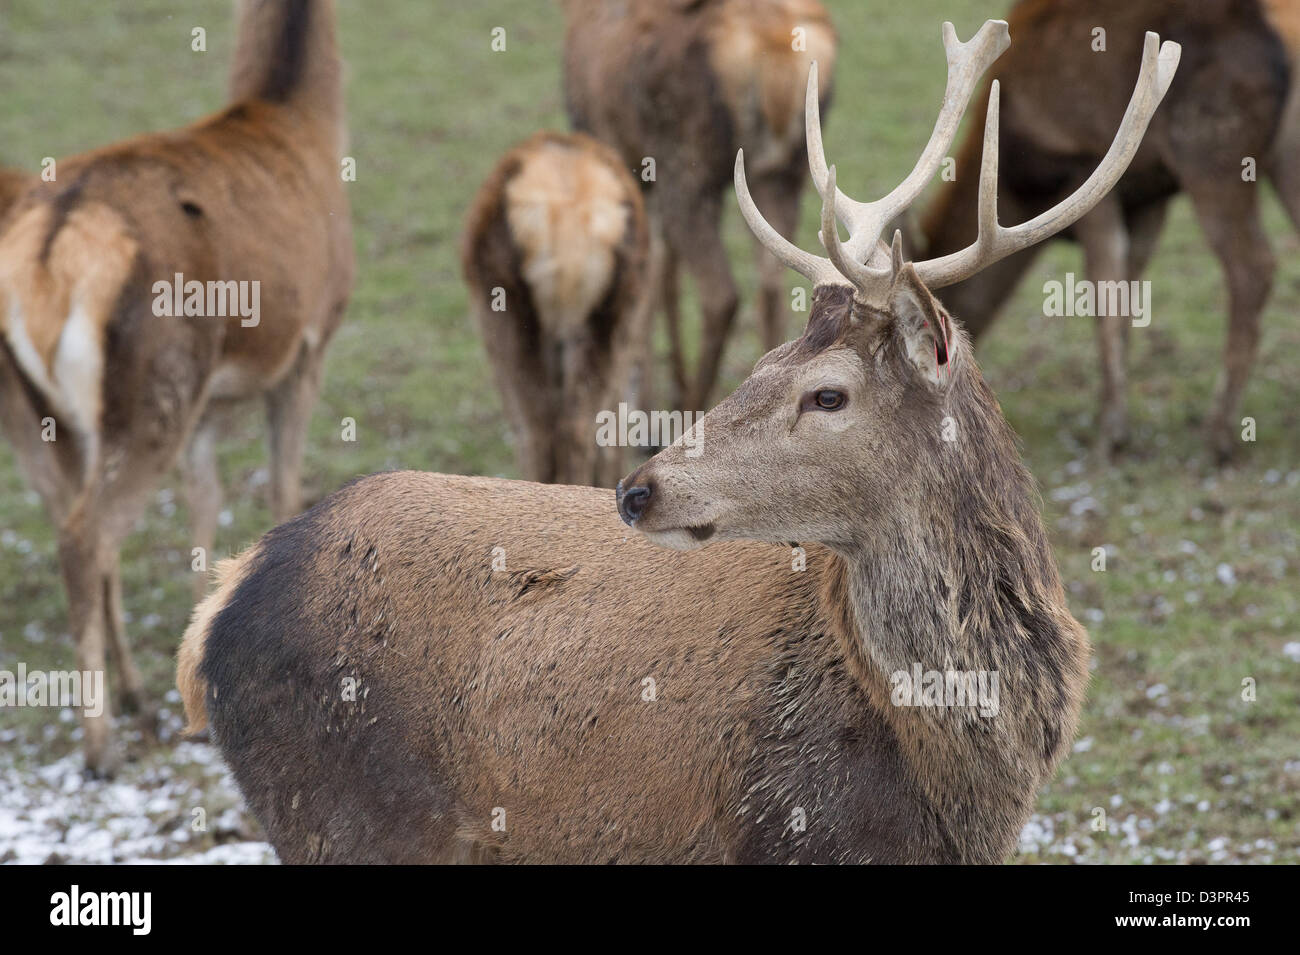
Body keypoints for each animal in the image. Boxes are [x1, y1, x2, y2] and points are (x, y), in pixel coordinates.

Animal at [0, 0, 353, 774]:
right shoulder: (307, 346)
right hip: (155, 387)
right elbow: (284, 492)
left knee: (75, 521)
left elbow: (205, 503)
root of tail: (49, 257)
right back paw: (100, 745)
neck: (302, 118)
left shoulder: (211, 406)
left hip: (47, 418)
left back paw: (135, 693)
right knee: (86, 536)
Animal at [564, 0, 837, 413]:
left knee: (720, 295)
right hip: (782, 174)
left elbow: (648, 281)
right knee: (774, 287)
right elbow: (663, 274)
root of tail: (775, 59)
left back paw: (691, 408)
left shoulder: (615, 148)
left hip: (687, 169)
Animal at [915, 0, 1300, 462]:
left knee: (1253, 268)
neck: (1018, 179)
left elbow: (1102, 292)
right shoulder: (1148, 195)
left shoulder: (1080, 163)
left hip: (1213, 149)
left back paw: (1217, 432)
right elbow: (1128, 289)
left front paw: (1110, 431)